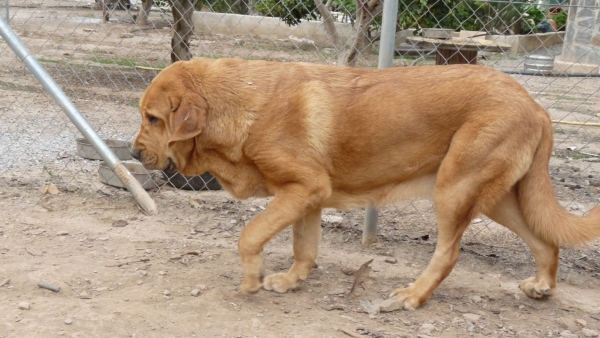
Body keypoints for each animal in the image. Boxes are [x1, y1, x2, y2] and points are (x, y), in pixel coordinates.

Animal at [134, 57, 600, 308]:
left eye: (153, 118)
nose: (135, 154)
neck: (241, 105)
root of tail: (535, 104)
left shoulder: (303, 190)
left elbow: (250, 235)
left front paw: (251, 280)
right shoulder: (306, 197)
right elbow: (304, 248)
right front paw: (293, 280)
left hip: (454, 191)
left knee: (449, 254)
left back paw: (414, 295)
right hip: (494, 197)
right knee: (546, 242)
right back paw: (542, 286)